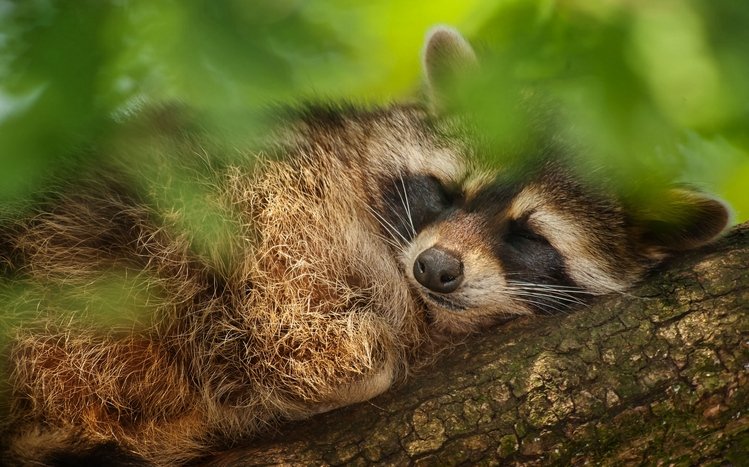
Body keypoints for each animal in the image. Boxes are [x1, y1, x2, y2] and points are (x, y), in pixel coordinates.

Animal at [0, 27, 729, 466]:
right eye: (448, 190)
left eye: (526, 235)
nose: (436, 268)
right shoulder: (277, 182)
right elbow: (276, 275)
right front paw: (342, 357)